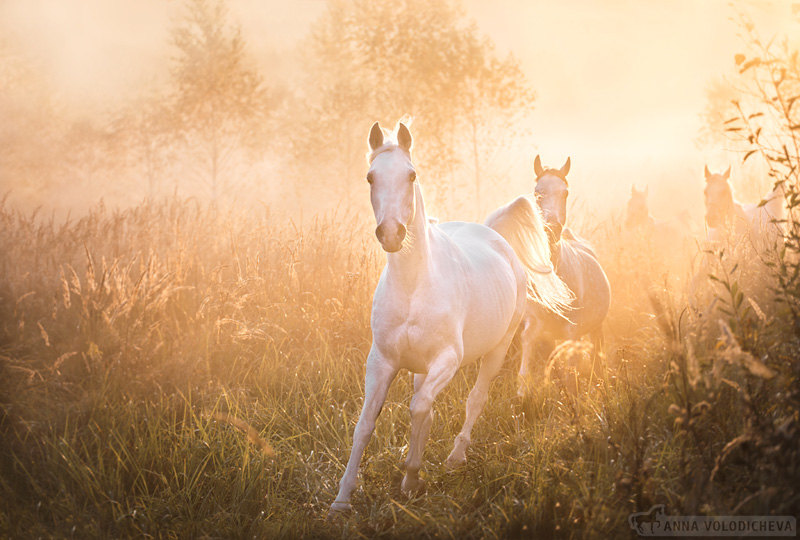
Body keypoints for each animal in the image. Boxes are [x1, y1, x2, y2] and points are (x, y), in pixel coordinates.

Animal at [328, 123, 572, 516]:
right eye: (370, 177)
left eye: (411, 175)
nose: (392, 233)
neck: (414, 285)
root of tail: (496, 237)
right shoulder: (381, 361)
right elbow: (365, 423)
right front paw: (342, 498)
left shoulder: (447, 360)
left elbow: (419, 408)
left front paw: (412, 478)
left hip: (497, 350)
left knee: (476, 398)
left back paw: (456, 457)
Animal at [488, 154, 612, 394]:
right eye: (538, 192)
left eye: (565, 193)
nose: (552, 229)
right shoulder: (534, 324)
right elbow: (526, 361)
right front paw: (522, 392)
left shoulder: (573, 330)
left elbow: (571, 372)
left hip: (596, 328)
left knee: (596, 356)